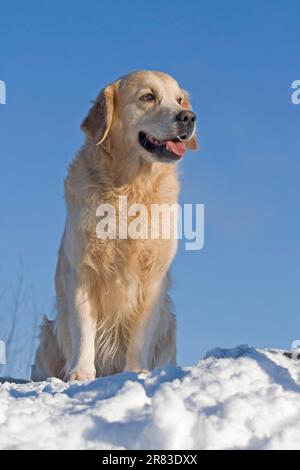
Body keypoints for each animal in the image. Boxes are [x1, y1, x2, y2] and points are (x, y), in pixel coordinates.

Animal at [32, 70, 197, 382]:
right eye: (148, 97)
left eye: (179, 99)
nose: (189, 117)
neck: (130, 188)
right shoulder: (81, 271)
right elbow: (83, 329)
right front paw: (81, 373)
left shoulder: (153, 277)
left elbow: (139, 333)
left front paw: (135, 371)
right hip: (48, 334)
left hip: (169, 324)